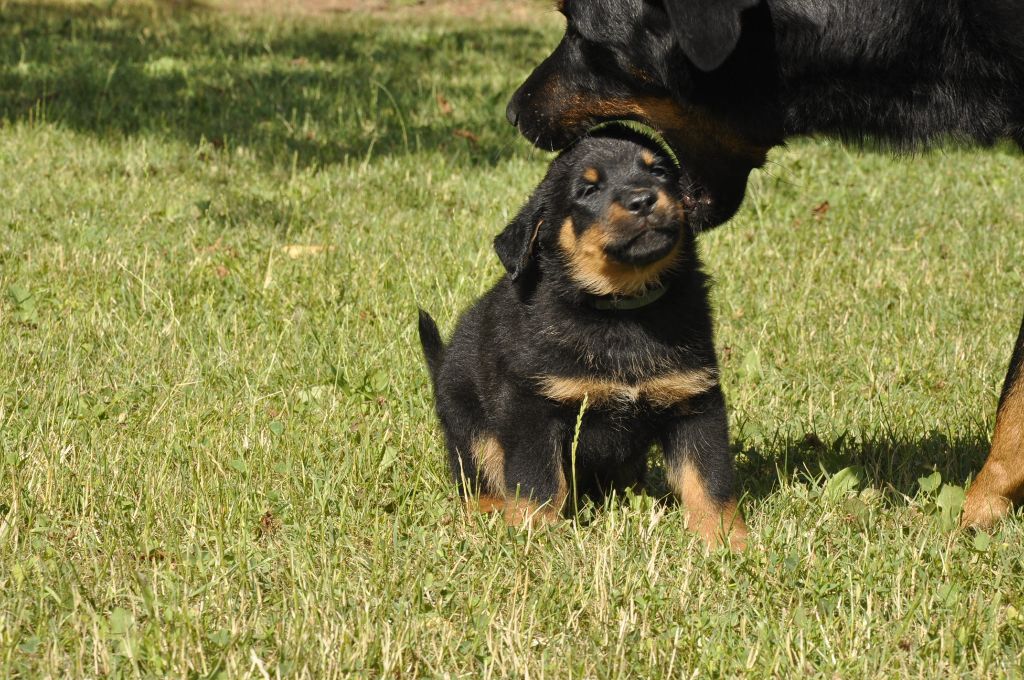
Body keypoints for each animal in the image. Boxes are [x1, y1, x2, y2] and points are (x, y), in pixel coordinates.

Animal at [419, 127, 749, 548]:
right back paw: (489, 513)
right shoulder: (531, 405)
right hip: (469, 423)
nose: (643, 199)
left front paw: (726, 538)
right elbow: (538, 481)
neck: (622, 310)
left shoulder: (694, 400)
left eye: (658, 171)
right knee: (481, 474)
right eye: (588, 189)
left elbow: (708, 478)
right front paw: (535, 533)